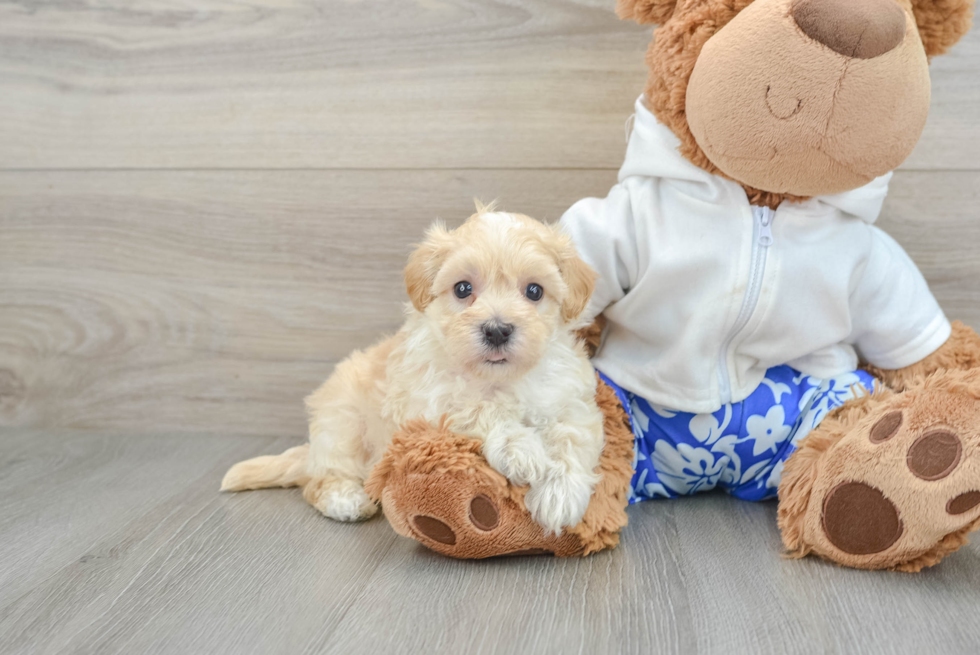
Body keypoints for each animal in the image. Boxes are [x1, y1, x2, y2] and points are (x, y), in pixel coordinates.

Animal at [222, 208, 604, 536]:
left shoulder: (571, 399)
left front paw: (560, 496)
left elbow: (573, 435)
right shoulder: (430, 403)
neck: (499, 380)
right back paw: (345, 500)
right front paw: (521, 448)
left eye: (534, 291)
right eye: (463, 288)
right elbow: (480, 408)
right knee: (321, 479)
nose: (497, 330)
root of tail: (313, 449)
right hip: (342, 424)